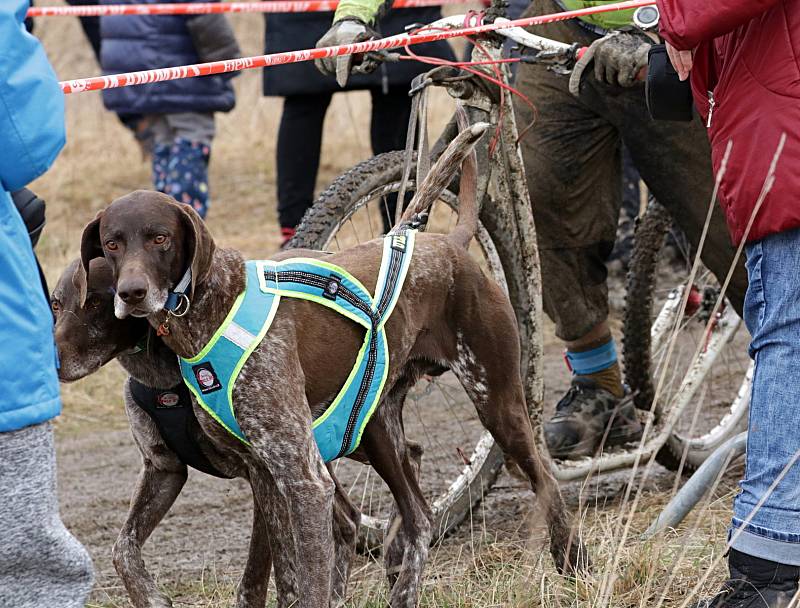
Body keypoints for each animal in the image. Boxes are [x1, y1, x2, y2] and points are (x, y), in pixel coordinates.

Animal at [78, 126, 584, 604]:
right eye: (112, 244)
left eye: (160, 238)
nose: (132, 293)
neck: (212, 309)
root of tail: (447, 243)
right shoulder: (265, 474)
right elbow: (279, 580)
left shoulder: (303, 478)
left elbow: (311, 581)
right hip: (378, 429)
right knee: (418, 517)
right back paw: (404, 593)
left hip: (497, 404)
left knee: (545, 481)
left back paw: (573, 566)